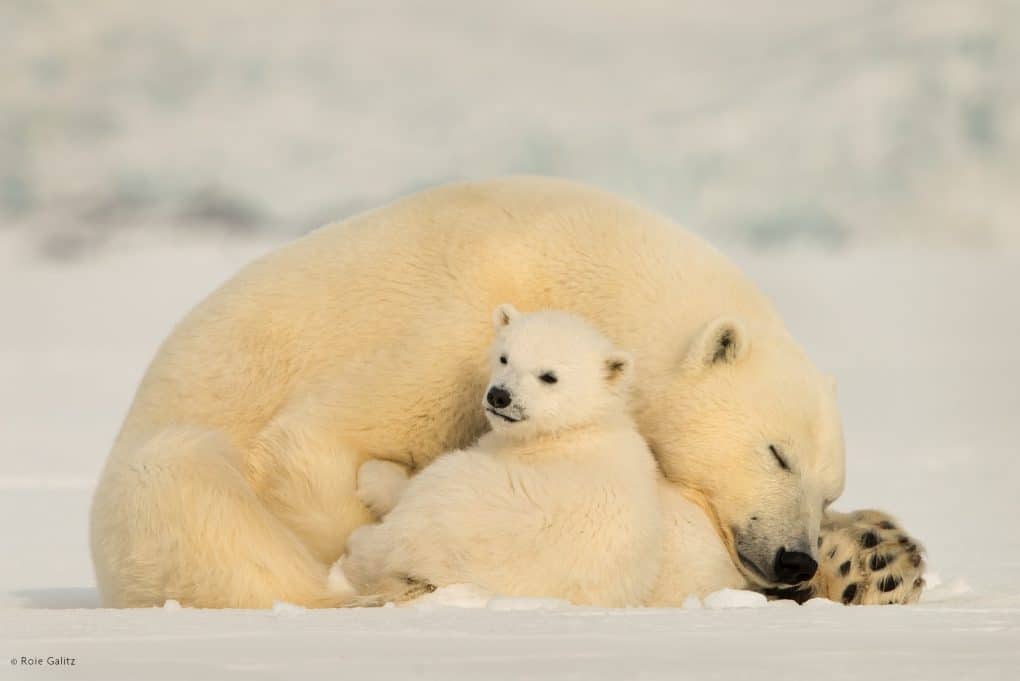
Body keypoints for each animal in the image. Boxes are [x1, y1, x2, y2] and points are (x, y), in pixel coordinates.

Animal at [335, 304, 663, 607]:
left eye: (549, 376)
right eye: (505, 357)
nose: (499, 396)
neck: (574, 428)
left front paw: (374, 474)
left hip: (456, 501)